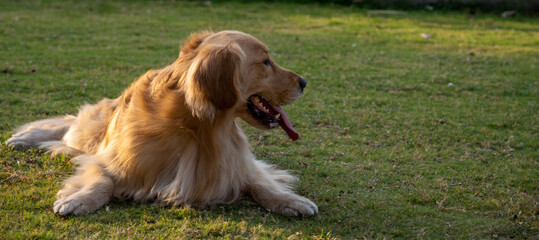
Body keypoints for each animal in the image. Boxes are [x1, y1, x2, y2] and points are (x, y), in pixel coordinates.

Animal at [4, 30, 318, 216]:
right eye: (265, 62)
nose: (305, 82)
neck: (197, 127)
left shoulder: (240, 164)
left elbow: (261, 184)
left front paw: (291, 201)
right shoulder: (108, 159)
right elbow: (102, 181)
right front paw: (79, 199)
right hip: (89, 133)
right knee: (68, 125)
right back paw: (23, 139)